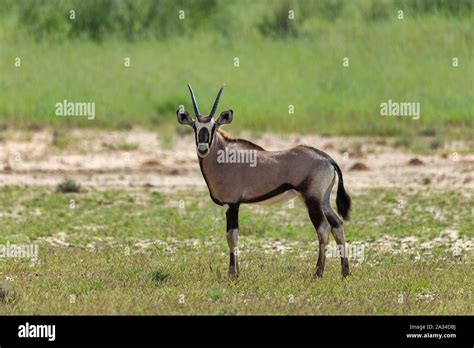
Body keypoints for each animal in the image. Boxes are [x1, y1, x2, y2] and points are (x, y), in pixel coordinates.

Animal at [178, 85, 352, 278]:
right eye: (195, 126)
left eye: (213, 126)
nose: (202, 149)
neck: (223, 157)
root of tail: (328, 159)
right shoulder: (233, 205)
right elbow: (234, 236)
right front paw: (237, 272)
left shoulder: (232, 204)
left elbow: (232, 236)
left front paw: (232, 274)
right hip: (323, 201)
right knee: (337, 225)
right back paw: (345, 272)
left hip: (311, 200)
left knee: (323, 228)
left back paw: (318, 273)